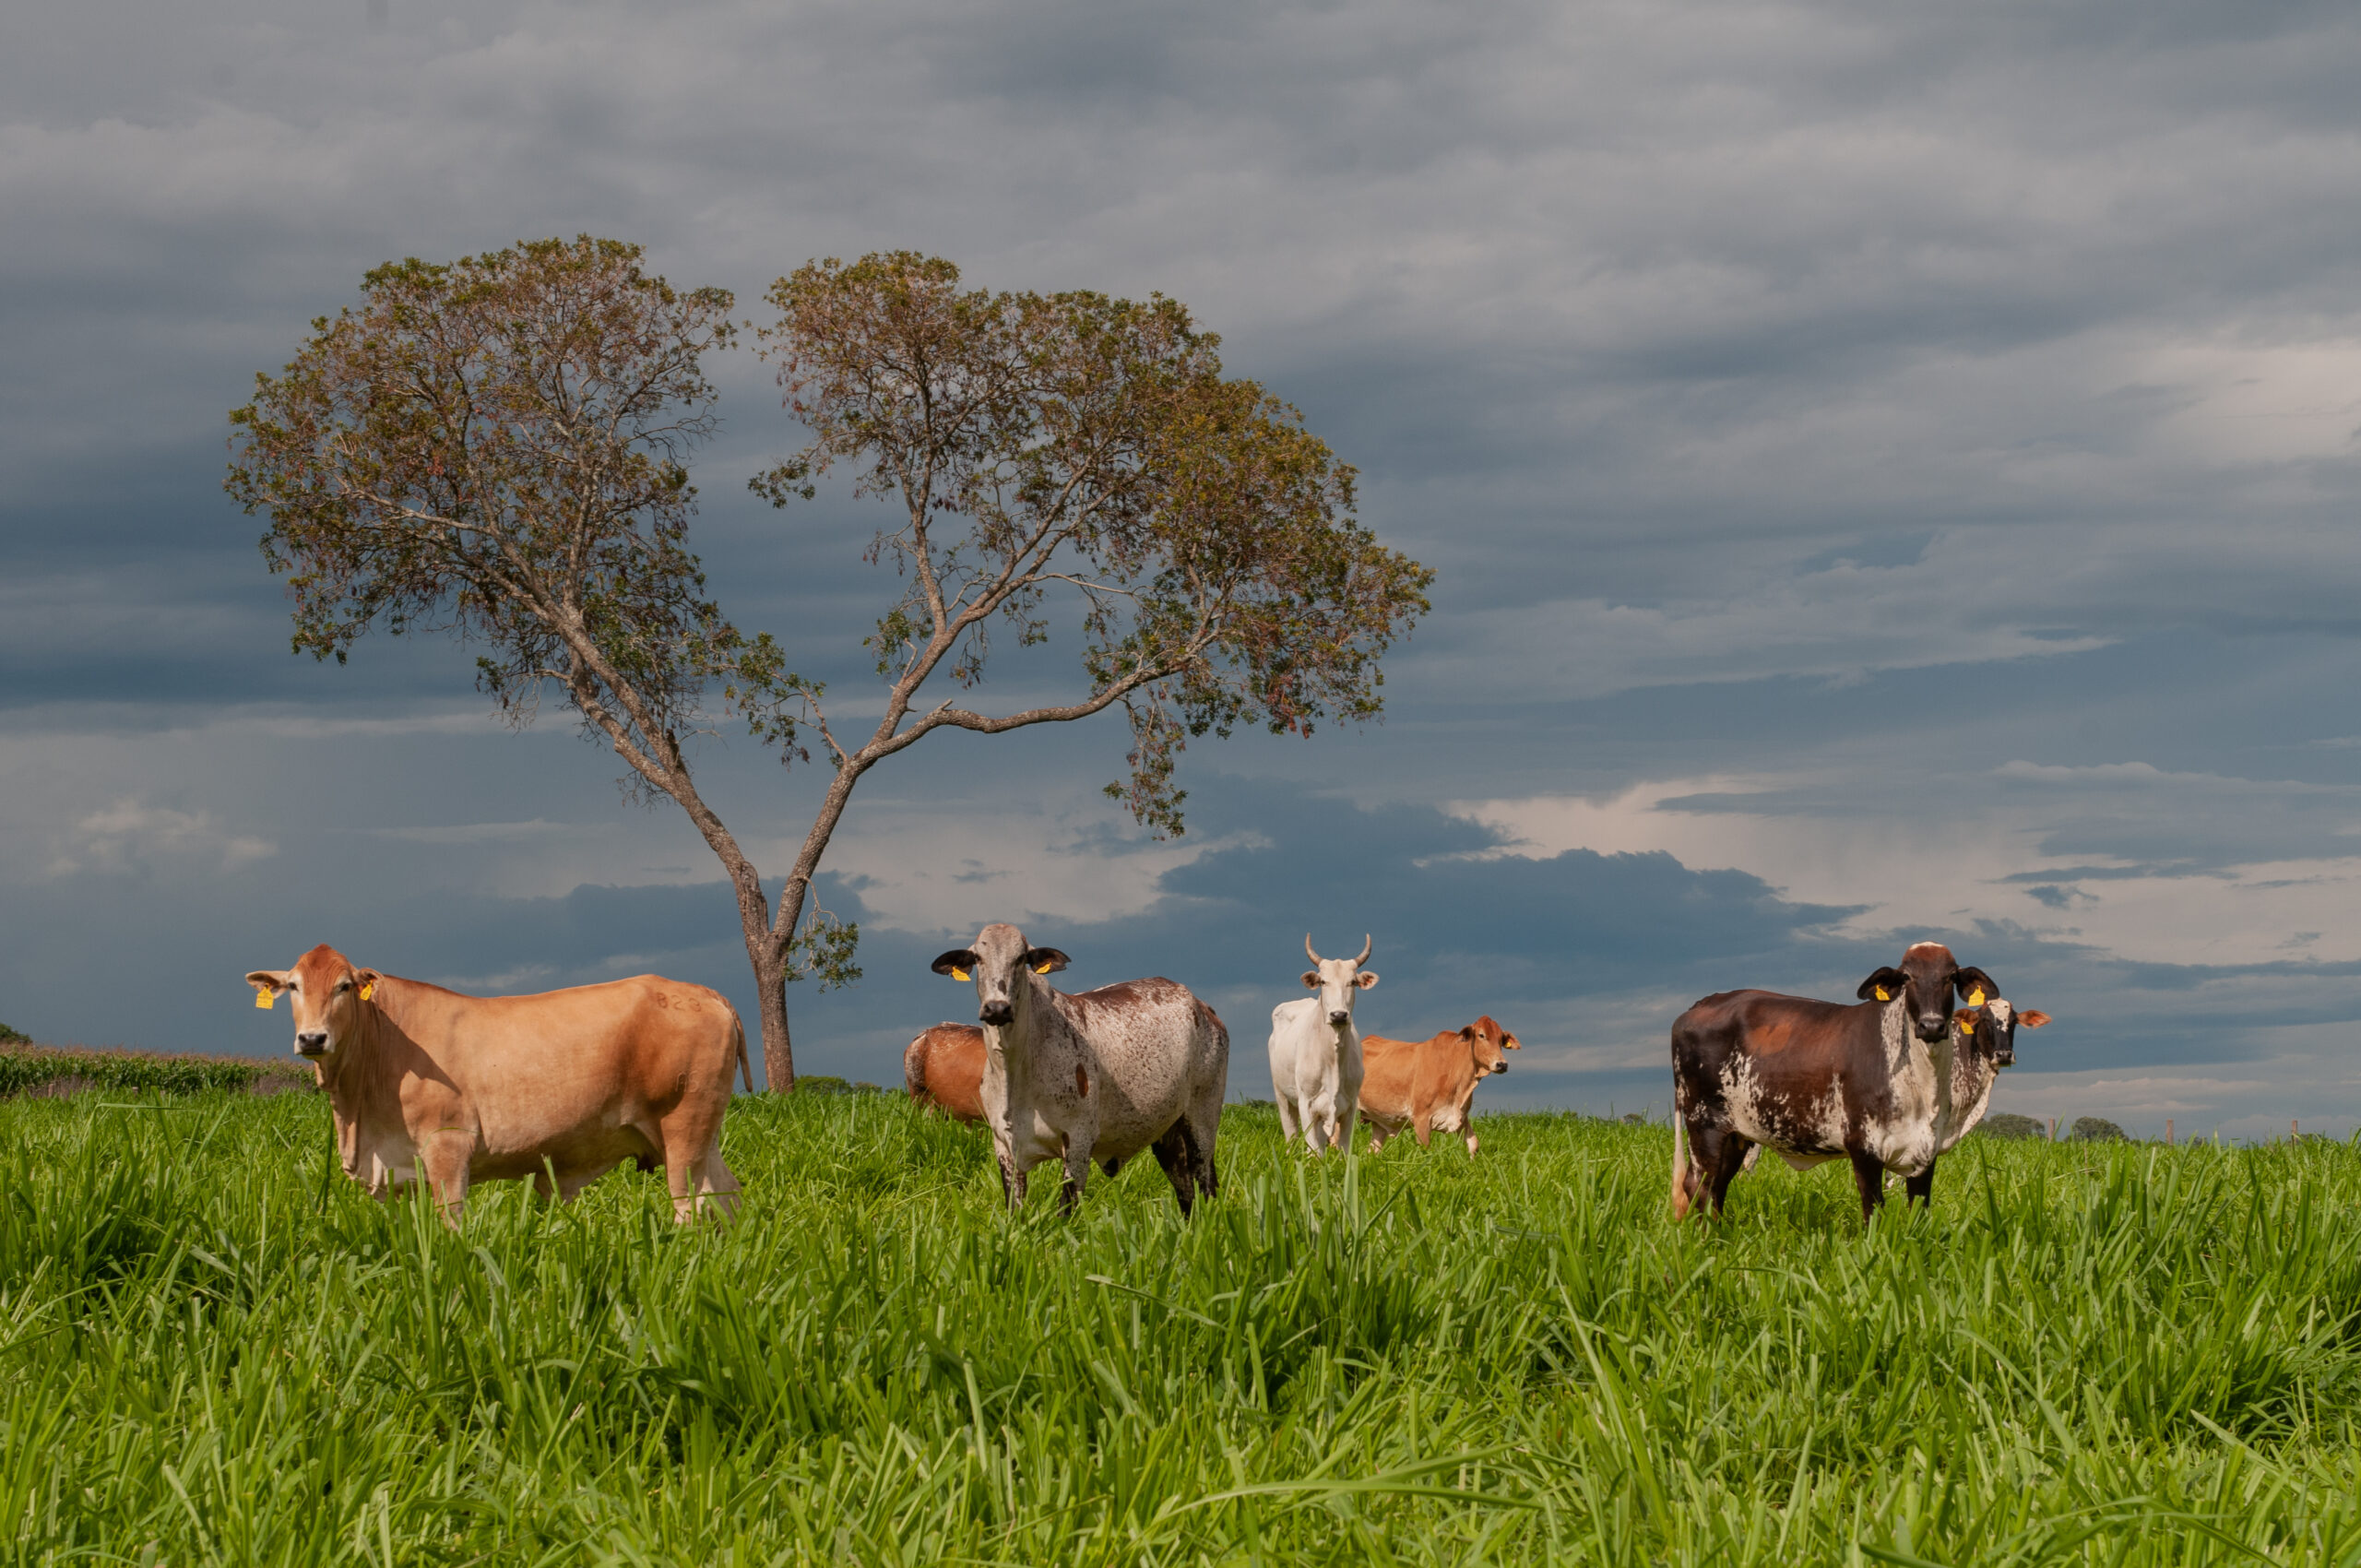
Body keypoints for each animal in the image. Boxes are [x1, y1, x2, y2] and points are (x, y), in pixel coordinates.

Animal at [920, 925, 1228, 1218]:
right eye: (978, 958)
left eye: (1020, 958)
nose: (997, 1008)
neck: (1016, 1071)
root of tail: (1203, 1007)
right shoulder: (1005, 1148)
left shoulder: (1079, 1141)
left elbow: (1065, 1213)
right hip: (1168, 1135)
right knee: (1187, 1196)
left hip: (1202, 1122)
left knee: (1206, 1187)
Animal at [1265, 934, 1379, 1157]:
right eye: (1323, 981)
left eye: (1353, 982)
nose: (1339, 1015)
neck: (1332, 1057)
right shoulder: (1306, 1104)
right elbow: (1314, 1150)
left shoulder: (1350, 1106)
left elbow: (1343, 1148)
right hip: (1282, 1097)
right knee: (1291, 1135)